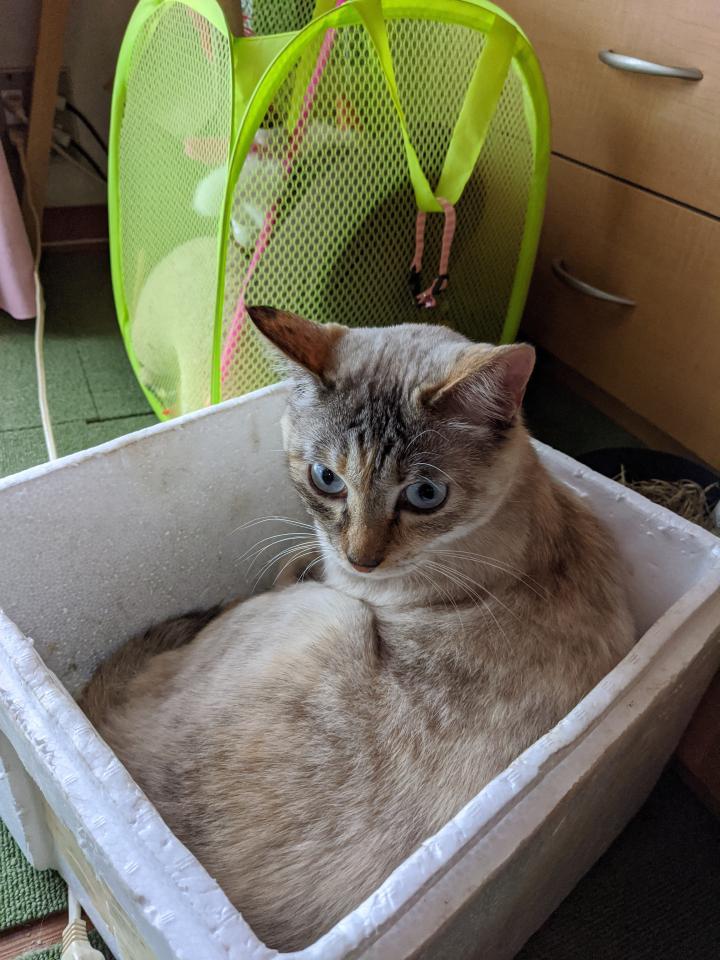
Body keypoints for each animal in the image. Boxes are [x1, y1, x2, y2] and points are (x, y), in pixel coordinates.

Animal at [80, 309, 635, 951]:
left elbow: (294, 569)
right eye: (327, 478)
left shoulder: (333, 588)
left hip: (325, 613)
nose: (361, 559)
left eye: (425, 494)